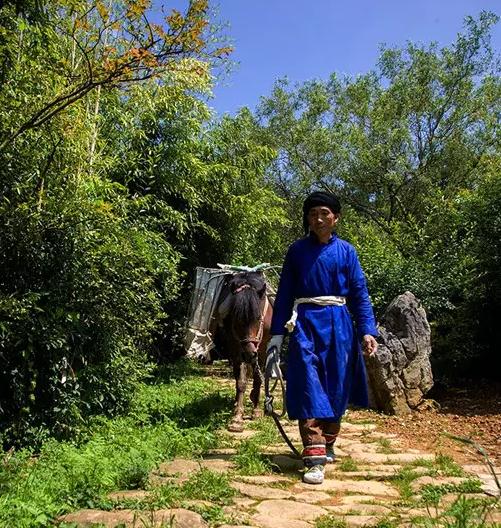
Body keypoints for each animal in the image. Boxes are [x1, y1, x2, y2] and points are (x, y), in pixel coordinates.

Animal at [216, 272, 272, 434]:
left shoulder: (262, 348)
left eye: (258, 318)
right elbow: (240, 381)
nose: (249, 354)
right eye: (236, 319)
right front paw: (237, 418)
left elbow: (258, 378)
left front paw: (256, 411)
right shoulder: (236, 347)